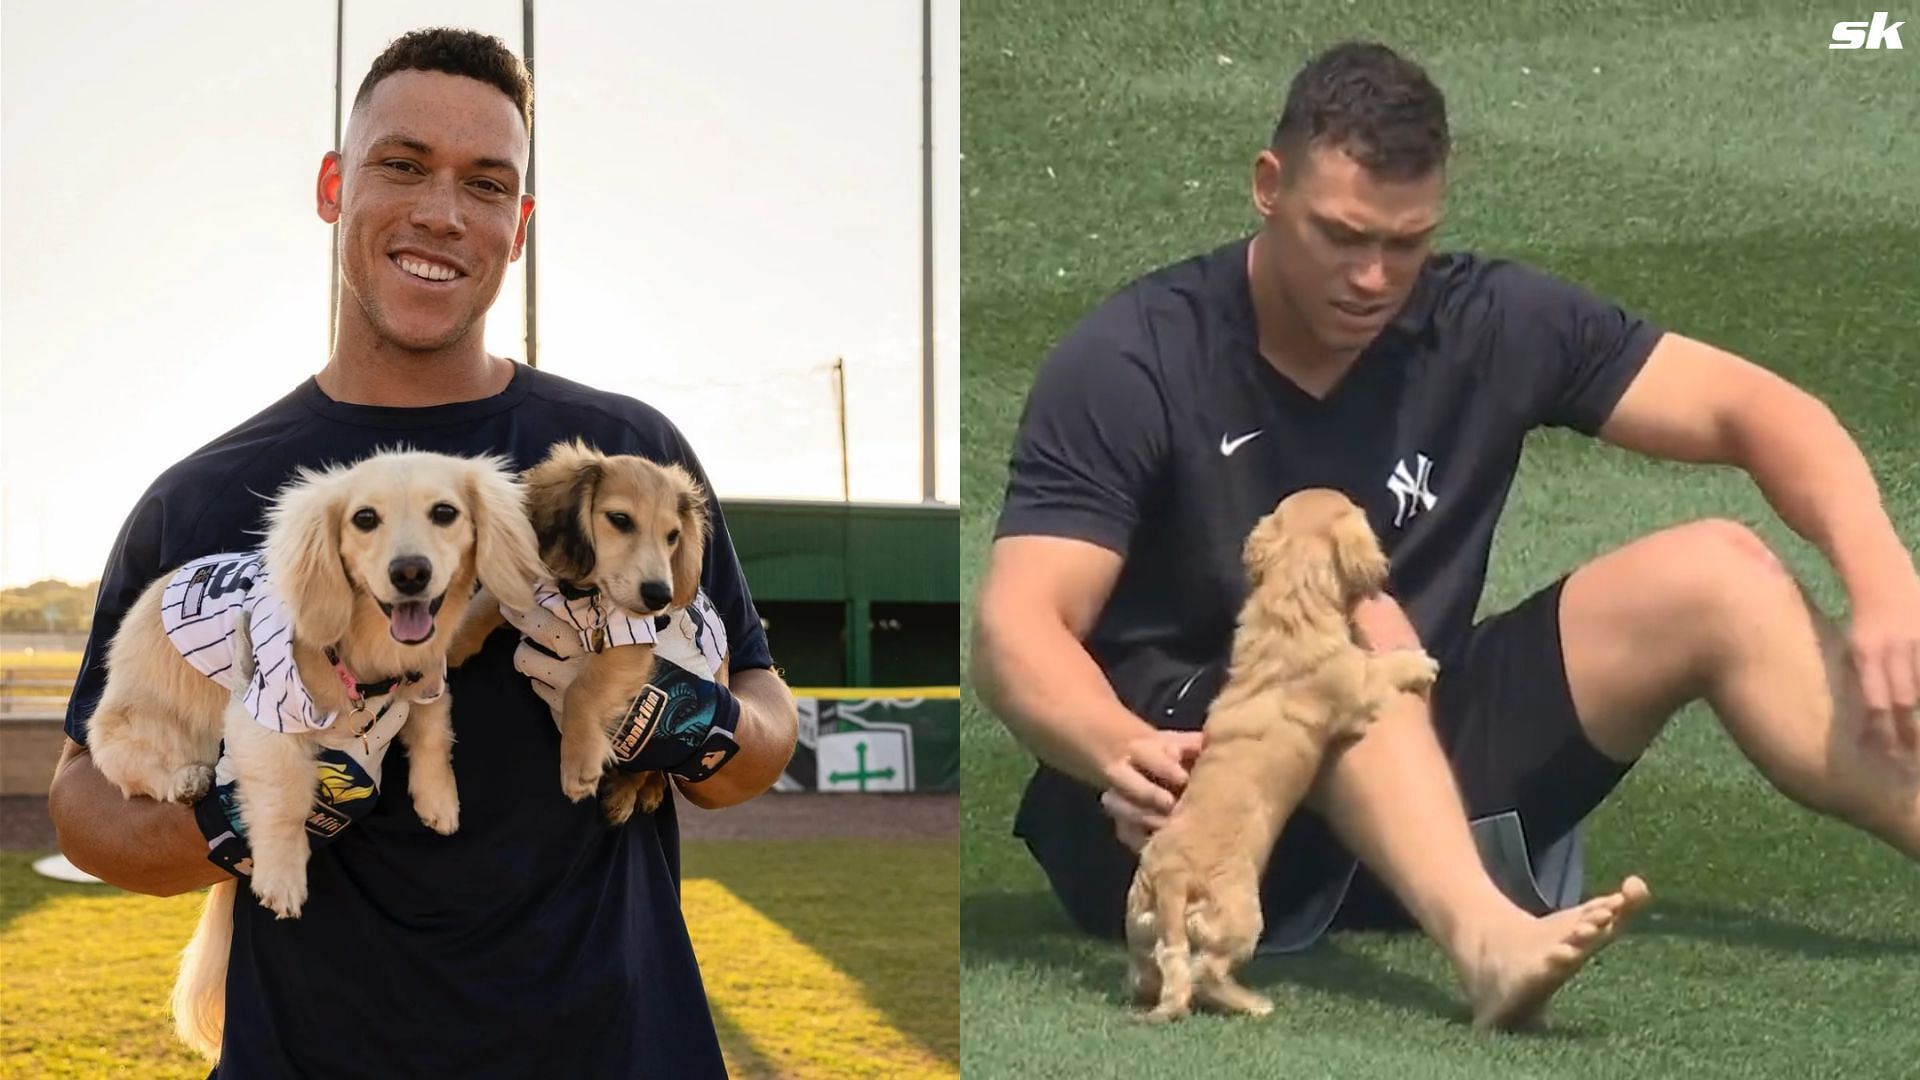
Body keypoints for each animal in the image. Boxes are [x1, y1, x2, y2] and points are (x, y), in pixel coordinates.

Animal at [84, 443, 541, 1053]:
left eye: (445, 513)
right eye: (364, 519)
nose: (410, 573)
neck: (370, 656)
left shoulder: (427, 680)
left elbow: (431, 738)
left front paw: (438, 802)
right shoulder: (261, 716)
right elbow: (281, 803)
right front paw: (282, 876)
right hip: (133, 724)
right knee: (133, 765)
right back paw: (186, 779)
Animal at [449, 438, 714, 822]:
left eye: (673, 536)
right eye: (620, 519)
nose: (659, 597)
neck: (577, 592)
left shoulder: (629, 639)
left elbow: (581, 690)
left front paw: (578, 762)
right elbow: (488, 603)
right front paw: (451, 644)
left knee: (652, 767)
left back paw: (629, 793)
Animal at [1121, 488, 1443, 1014]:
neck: (1292, 604)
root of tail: (1172, 880)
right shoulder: (1357, 688)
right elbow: (1379, 667)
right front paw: (1417, 662)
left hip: (1143, 930)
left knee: (1161, 974)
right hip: (1242, 920)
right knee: (1207, 972)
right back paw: (1253, 1003)